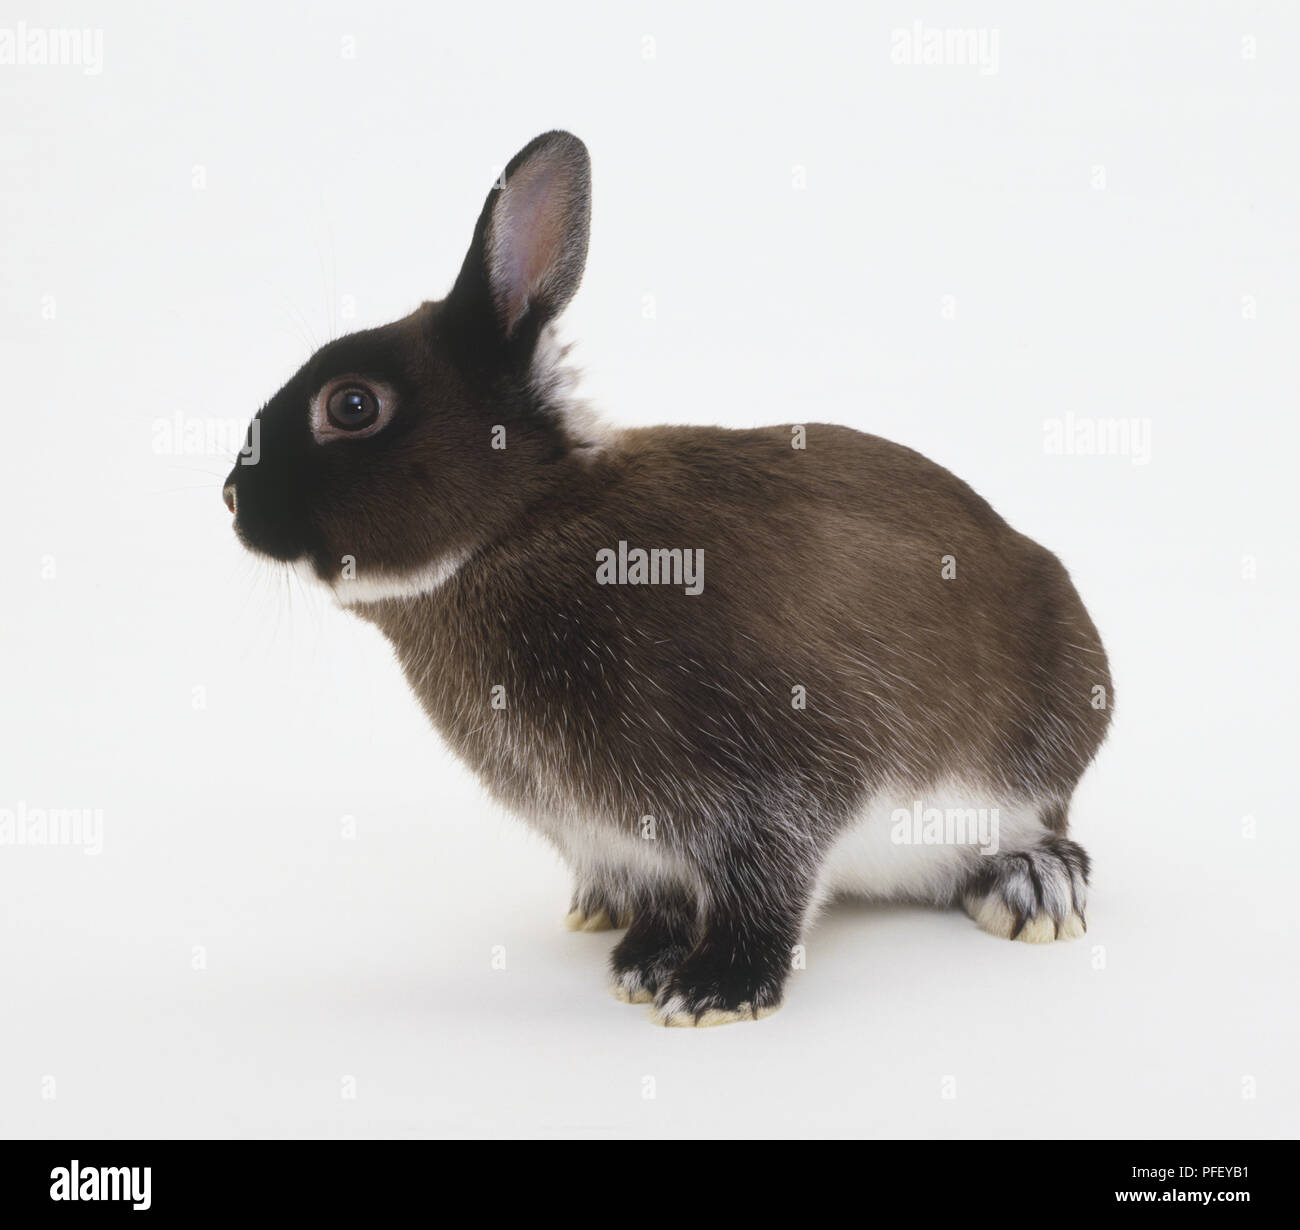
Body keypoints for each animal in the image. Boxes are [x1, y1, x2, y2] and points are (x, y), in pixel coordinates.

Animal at [223, 131, 1112, 1027]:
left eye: (354, 406)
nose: (230, 498)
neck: (519, 526)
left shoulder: (776, 784)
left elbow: (769, 883)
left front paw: (717, 987)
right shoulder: (629, 839)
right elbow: (667, 895)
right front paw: (647, 963)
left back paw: (1035, 889)